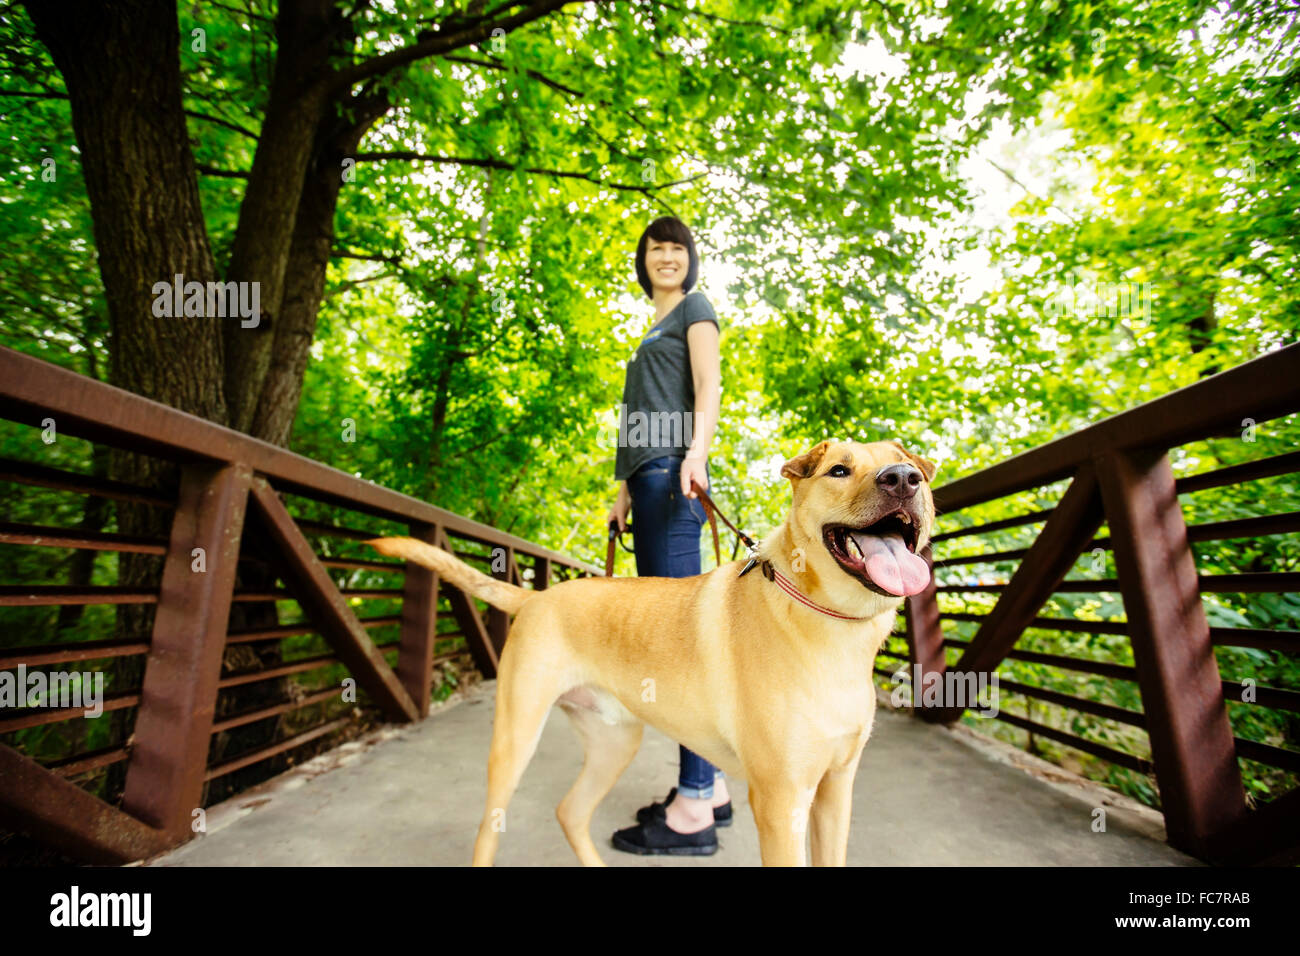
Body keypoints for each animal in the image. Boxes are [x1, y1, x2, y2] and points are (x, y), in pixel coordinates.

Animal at [366, 442, 935, 868]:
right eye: (840, 470)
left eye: (908, 467)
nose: (904, 478)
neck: (830, 625)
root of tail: (537, 597)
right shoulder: (781, 802)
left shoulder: (836, 792)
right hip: (515, 740)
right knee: (490, 827)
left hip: (615, 743)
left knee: (570, 811)